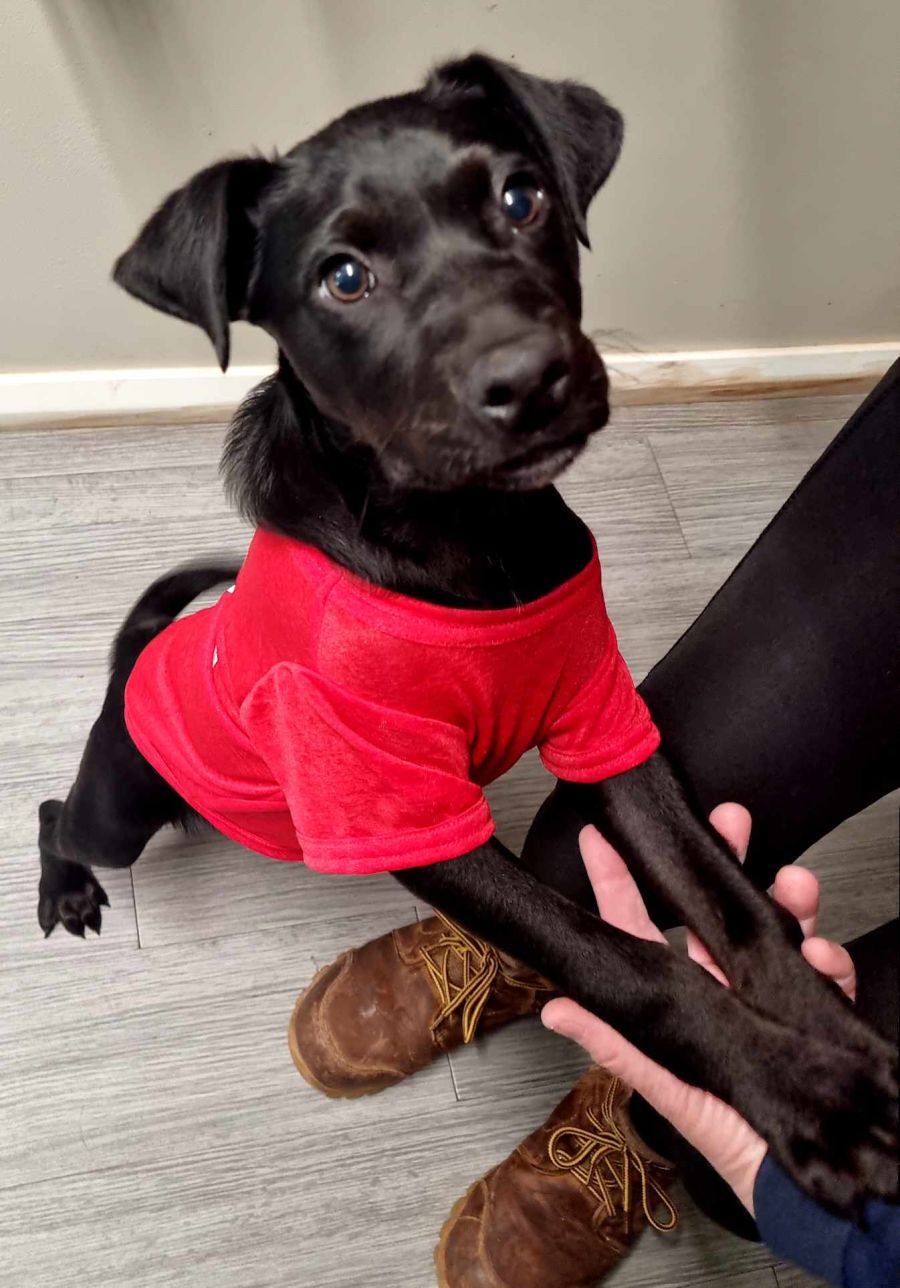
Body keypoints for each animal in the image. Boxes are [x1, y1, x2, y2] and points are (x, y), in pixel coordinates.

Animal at [36, 54, 896, 1215]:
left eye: (522, 197)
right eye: (342, 277)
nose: (531, 379)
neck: (473, 549)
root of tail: (137, 666)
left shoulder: (606, 726)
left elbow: (734, 904)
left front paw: (838, 1031)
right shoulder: (410, 811)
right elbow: (632, 965)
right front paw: (808, 1100)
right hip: (122, 803)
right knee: (58, 814)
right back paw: (66, 885)